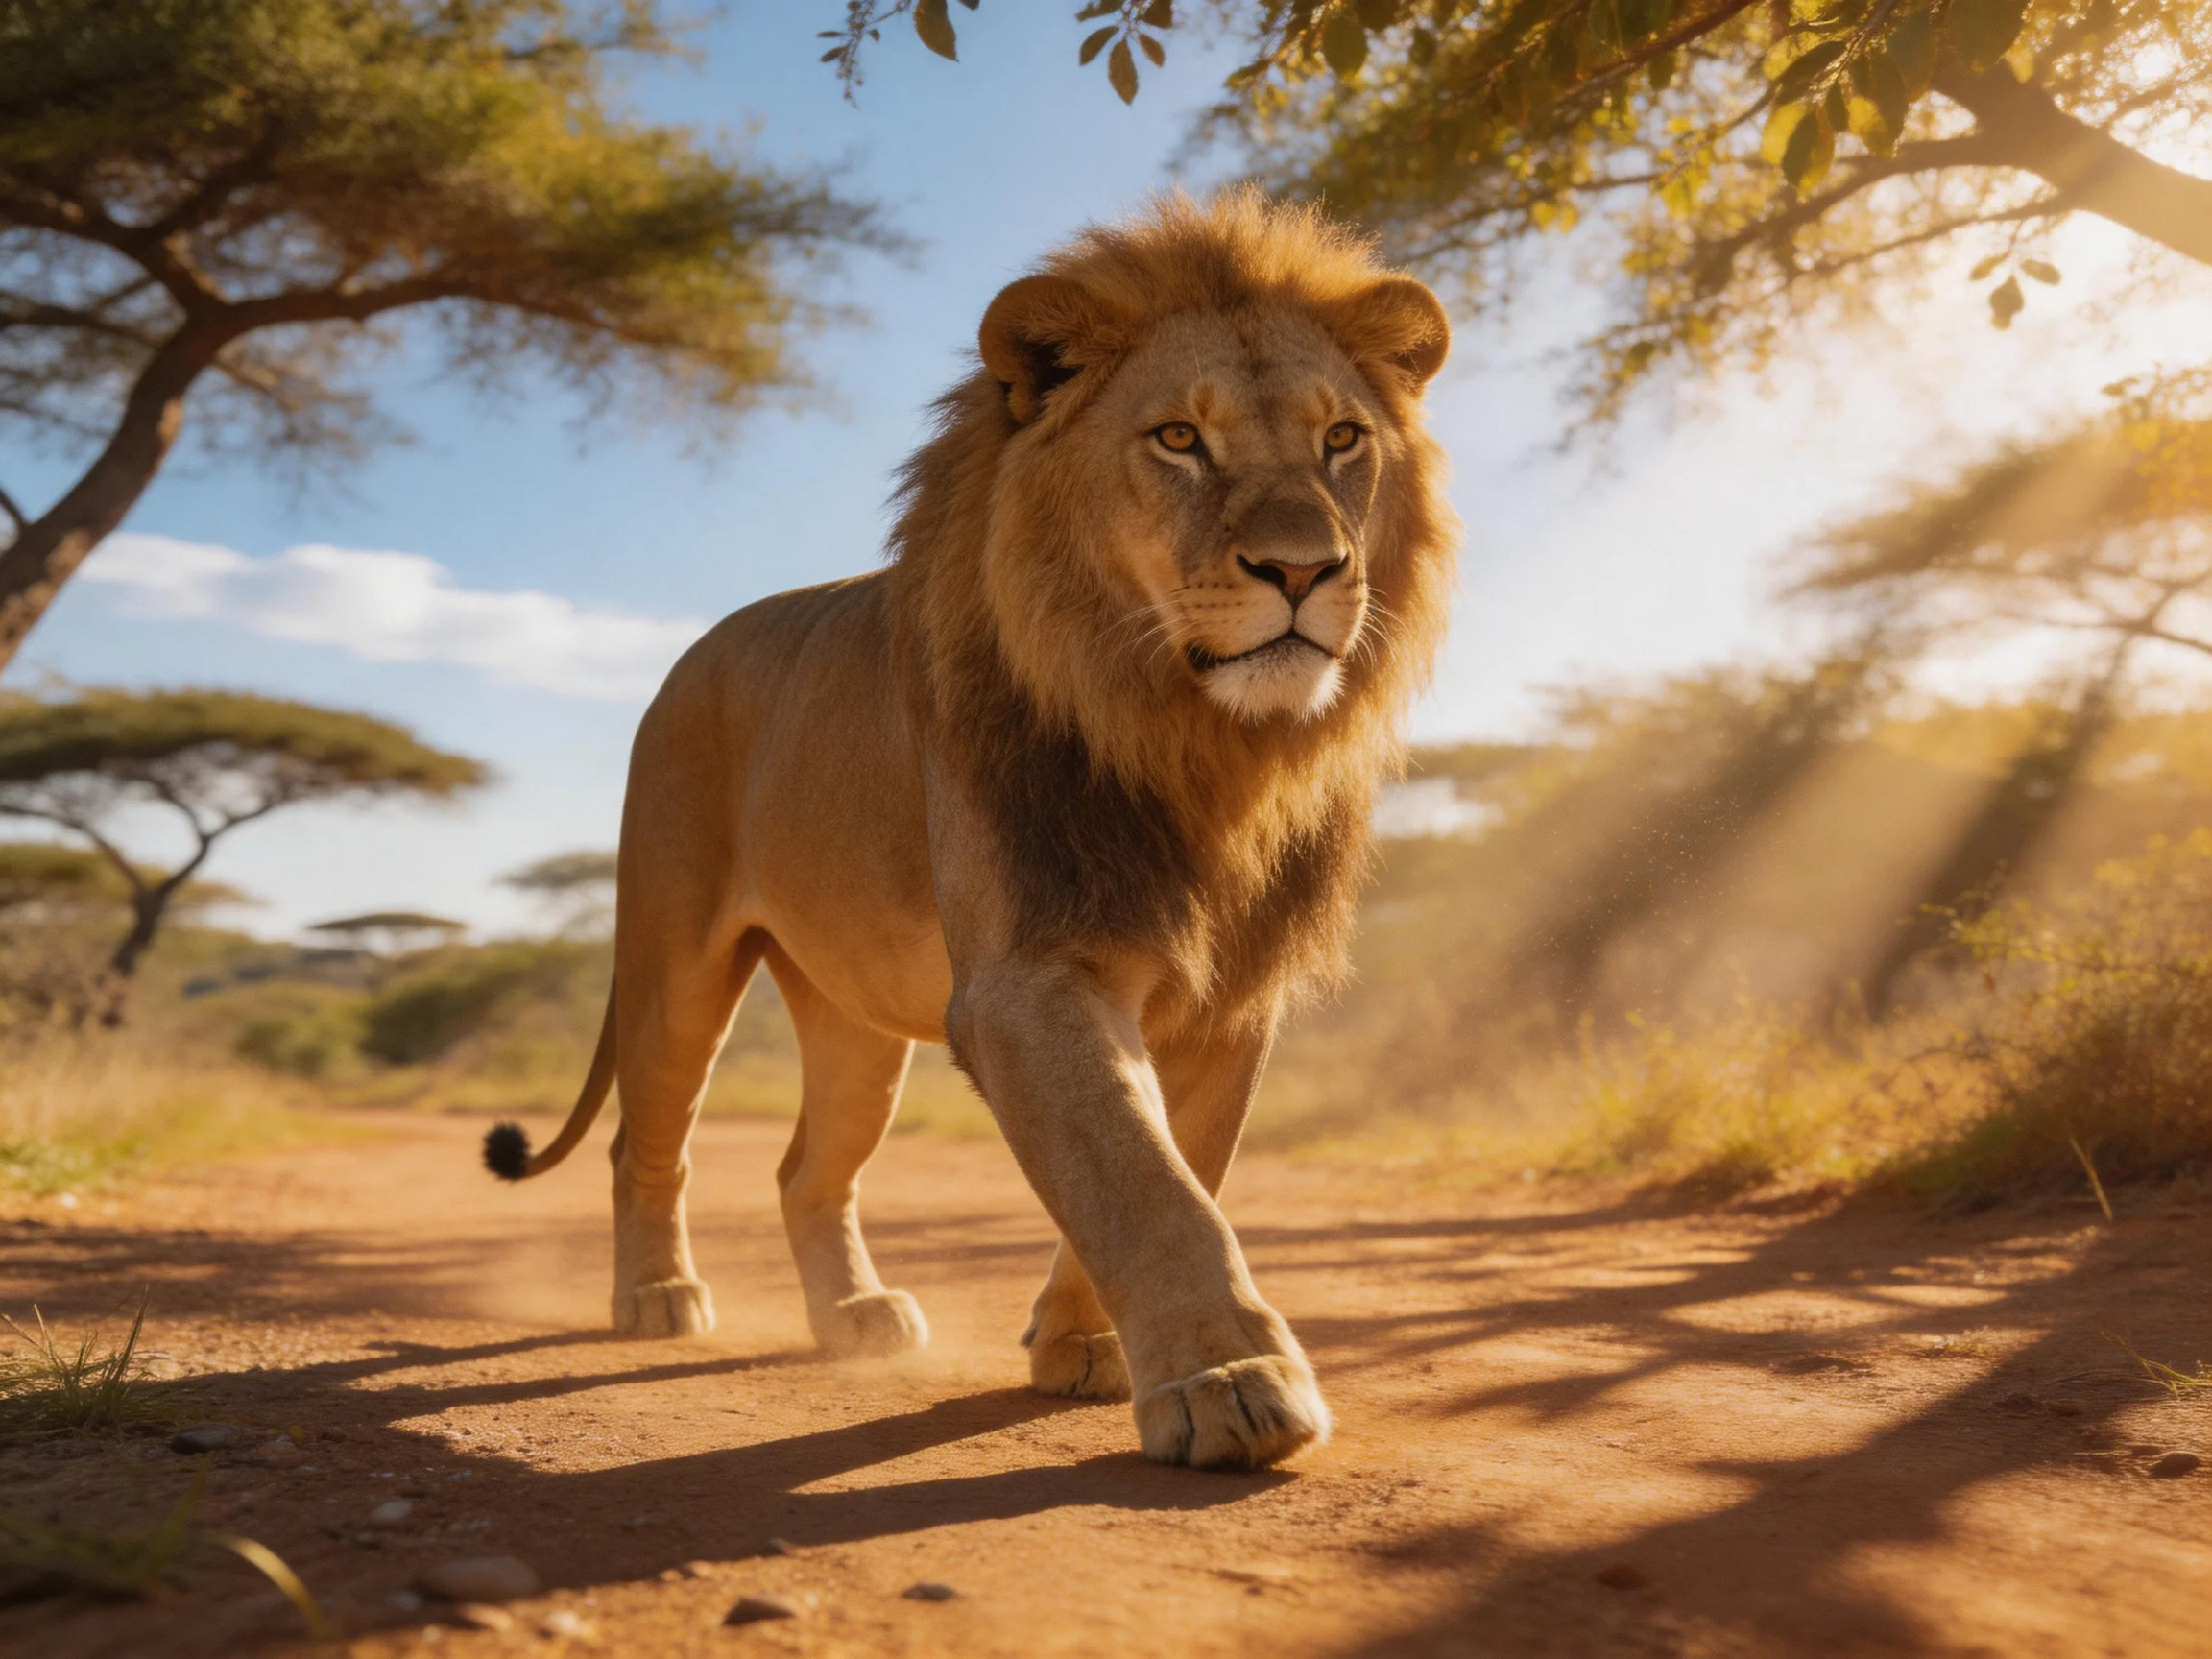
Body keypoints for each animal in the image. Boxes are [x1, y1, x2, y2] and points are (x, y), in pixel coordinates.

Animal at [482, 190, 1456, 1470]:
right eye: (1179, 440)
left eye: (1342, 439)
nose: (1303, 569)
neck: (1196, 743)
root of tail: (696, 650)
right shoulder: (1025, 976)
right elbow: (1139, 1178)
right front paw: (1231, 1381)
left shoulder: (1232, 994)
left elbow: (1174, 1165)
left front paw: (1082, 1345)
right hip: (675, 960)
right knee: (649, 1137)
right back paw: (655, 1296)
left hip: (851, 1018)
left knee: (806, 1168)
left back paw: (854, 1315)